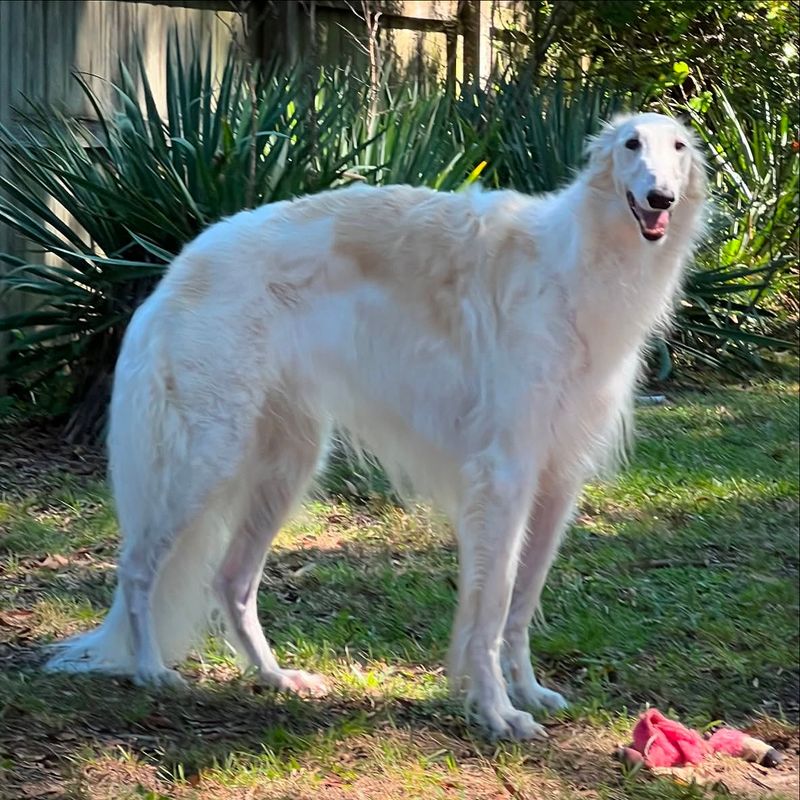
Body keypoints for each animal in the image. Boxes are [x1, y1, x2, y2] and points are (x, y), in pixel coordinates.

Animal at [45, 111, 708, 736]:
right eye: (631, 145)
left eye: (678, 147)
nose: (659, 199)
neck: (580, 260)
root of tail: (175, 271)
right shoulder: (504, 473)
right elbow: (493, 606)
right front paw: (498, 711)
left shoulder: (557, 477)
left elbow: (521, 603)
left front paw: (524, 692)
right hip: (207, 455)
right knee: (138, 566)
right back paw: (149, 670)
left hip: (286, 463)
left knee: (231, 581)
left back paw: (275, 676)